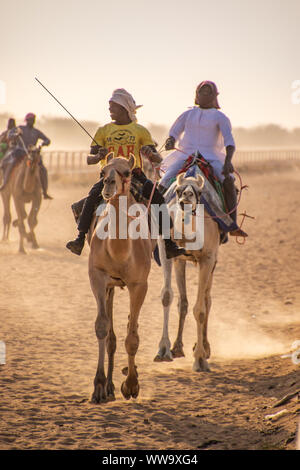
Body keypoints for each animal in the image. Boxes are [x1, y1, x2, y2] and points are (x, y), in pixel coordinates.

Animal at [88, 155, 155, 404]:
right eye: (103, 171)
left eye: (127, 172)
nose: (108, 183)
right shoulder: (97, 276)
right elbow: (101, 327)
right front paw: (98, 387)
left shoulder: (139, 284)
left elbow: (132, 337)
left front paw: (132, 385)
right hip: (110, 285)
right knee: (111, 334)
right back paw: (108, 387)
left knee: (128, 327)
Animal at [154, 172, 219, 370]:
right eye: (177, 190)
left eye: (199, 191)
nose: (187, 197)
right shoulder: (167, 251)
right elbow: (167, 296)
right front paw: (163, 350)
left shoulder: (207, 259)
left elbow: (200, 309)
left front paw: (200, 359)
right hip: (180, 262)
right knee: (183, 301)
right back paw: (177, 347)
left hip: (213, 261)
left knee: (207, 299)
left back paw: (205, 347)